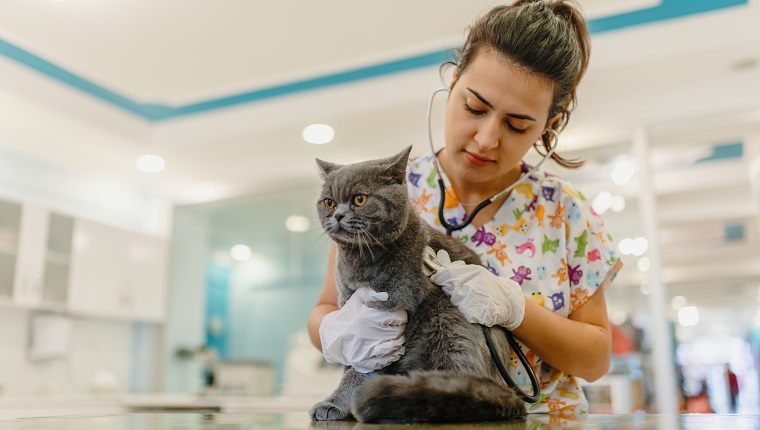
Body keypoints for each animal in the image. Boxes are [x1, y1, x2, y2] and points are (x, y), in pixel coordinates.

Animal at [310, 147, 528, 424]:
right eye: (328, 202)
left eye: (359, 199)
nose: (337, 215)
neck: (360, 258)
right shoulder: (350, 306)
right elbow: (353, 356)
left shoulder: (392, 306)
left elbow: (362, 369)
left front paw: (335, 403)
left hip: (449, 320)